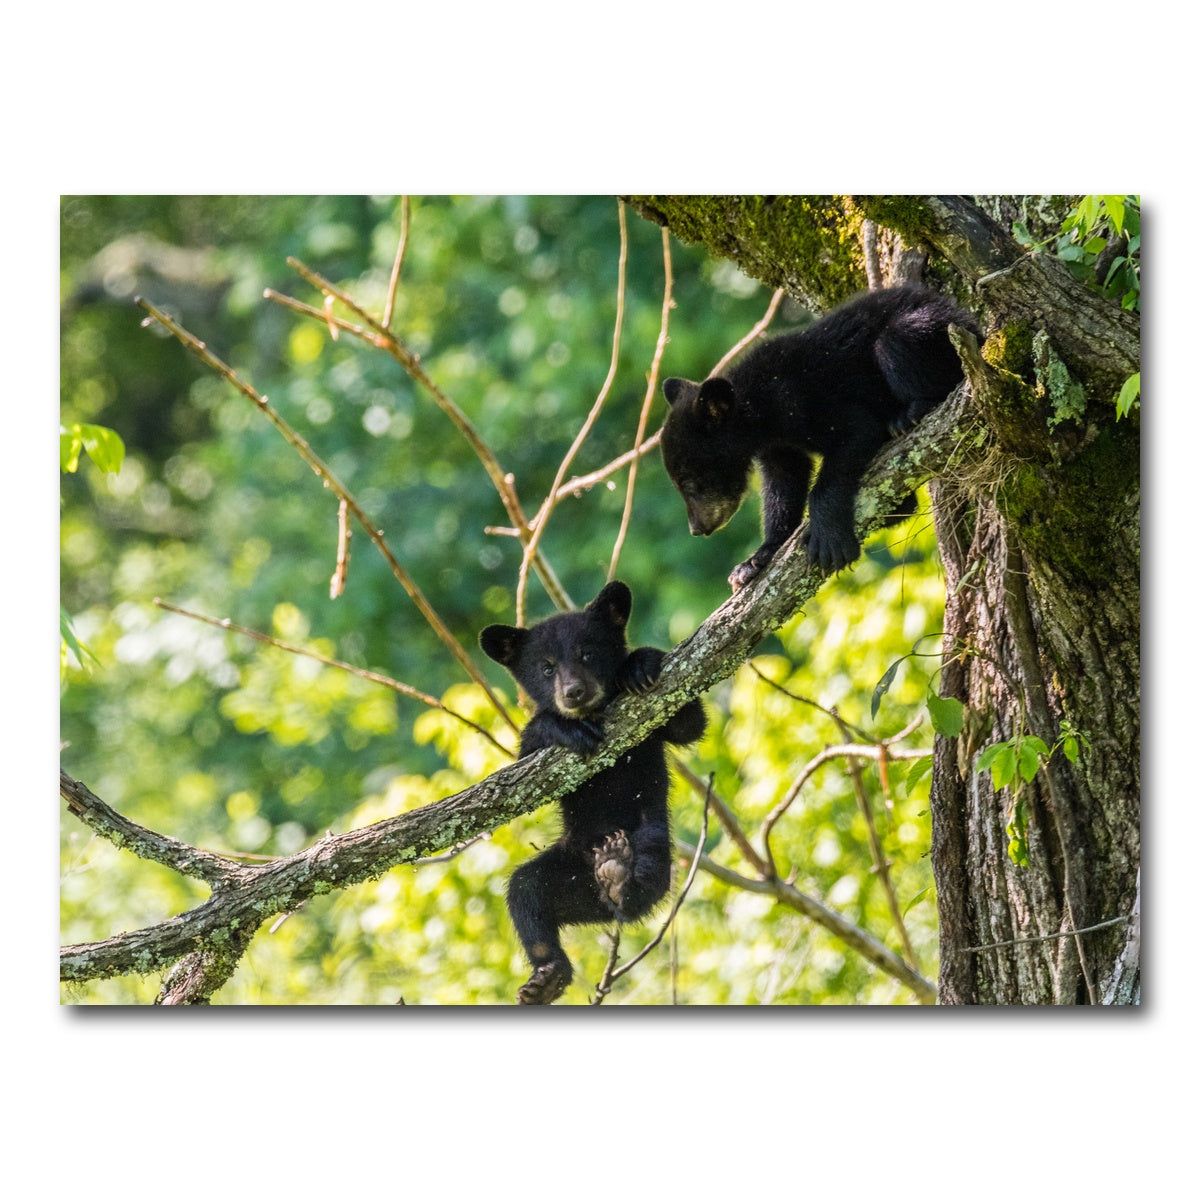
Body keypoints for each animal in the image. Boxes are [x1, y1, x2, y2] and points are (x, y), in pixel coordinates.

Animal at [479, 580, 707, 1005]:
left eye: (588, 652)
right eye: (546, 667)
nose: (574, 692)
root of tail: (596, 899)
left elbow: (687, 723)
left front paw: (638, 664)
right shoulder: (530, 762)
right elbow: (525, 765)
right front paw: (564, 727)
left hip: (651, 838)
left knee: (646, 878)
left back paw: (619, 875)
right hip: (562, 873)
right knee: (525, 893)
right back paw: (547, 977)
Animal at [661, 284, 980, 589]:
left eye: (691, 484)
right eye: (679, 484)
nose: (697, 528)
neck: (760, 410)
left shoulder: (804, 400)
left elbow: (856, 429)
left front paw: (828, 539)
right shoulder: (777, 445)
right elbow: (784, 482)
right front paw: (755, 559)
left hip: (935, 332)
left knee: (896, 340)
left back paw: (909, 414)